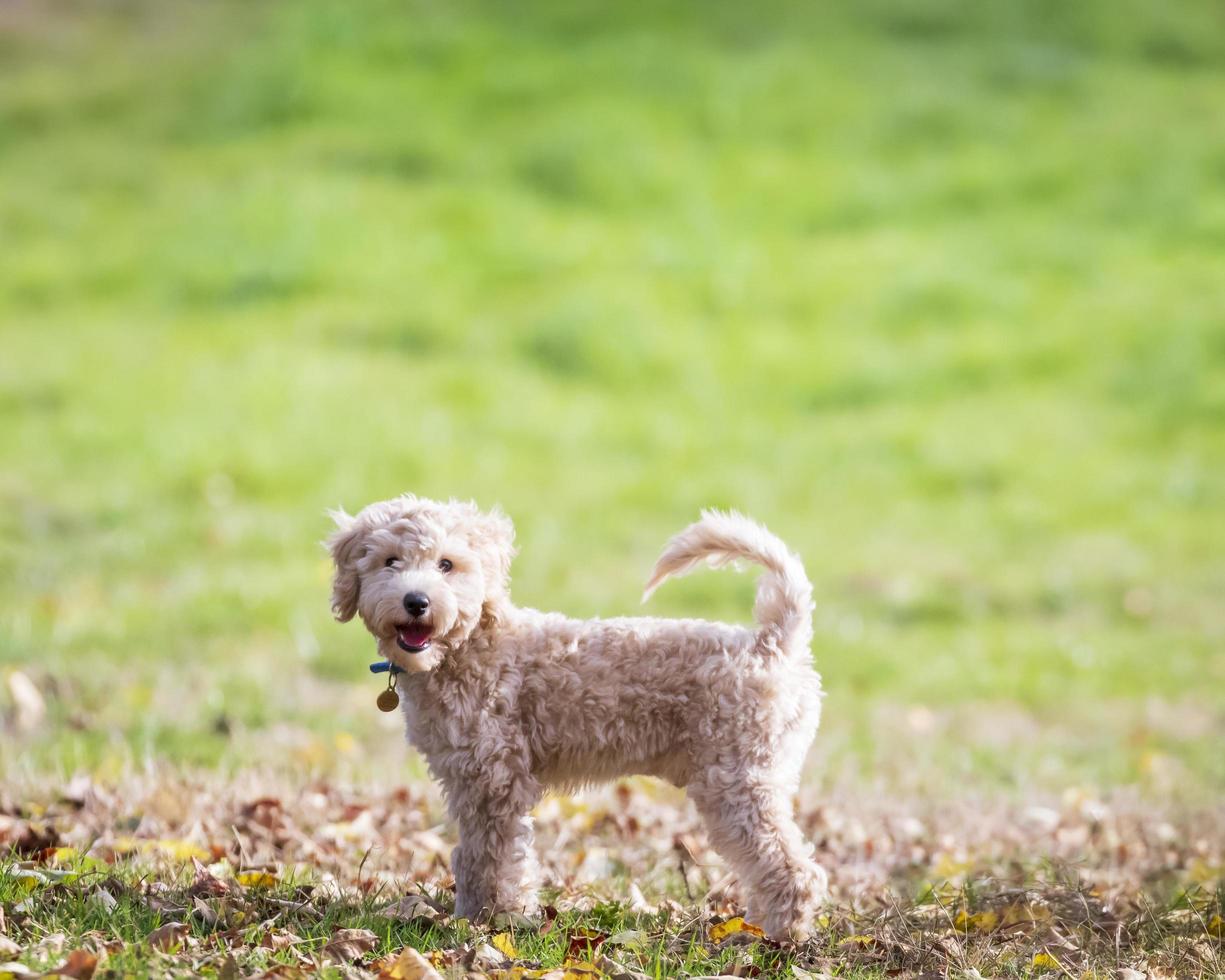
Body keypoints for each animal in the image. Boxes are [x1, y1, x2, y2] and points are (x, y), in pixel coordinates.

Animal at [325, 497, 828, 940]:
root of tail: (772, 642)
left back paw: (774, 937)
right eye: (389, 561)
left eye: (446, 564)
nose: (416, 601)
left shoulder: (496, 779)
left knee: (793, 867)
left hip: (737, 780)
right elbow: (471, 855)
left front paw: (497, 921)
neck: (470, 646)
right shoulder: (467, 779)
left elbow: (496, 856)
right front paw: (470, 915)